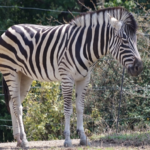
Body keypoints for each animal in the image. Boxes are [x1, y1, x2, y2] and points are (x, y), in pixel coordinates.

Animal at [0, 6, 143, 147]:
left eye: (136, 39)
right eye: (124, 40)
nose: (139, 67)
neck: (83, 45)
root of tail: (9, 28)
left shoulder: (84, 78)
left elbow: (80, 107)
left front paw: (83, 138)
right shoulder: (67, 77)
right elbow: (68, 109)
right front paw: (68, 140)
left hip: (24, 75)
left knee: (13, 104)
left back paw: (18, 140)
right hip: (11, 72)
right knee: (17, 107)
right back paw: (24, 141)